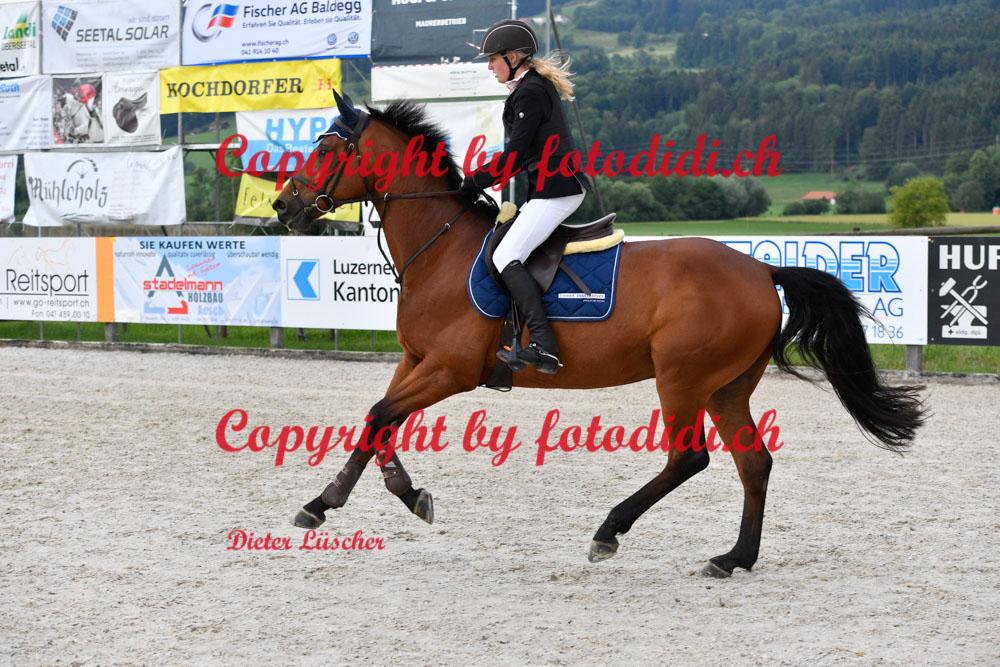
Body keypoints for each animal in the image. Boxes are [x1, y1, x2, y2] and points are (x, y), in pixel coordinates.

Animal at [271, 91, 925, 577]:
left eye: (327, 147)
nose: (282, 206)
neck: (441, 247)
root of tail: (761, 270)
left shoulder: (450, 370)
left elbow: (380, 414)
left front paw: (358, 501)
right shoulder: (416, 361)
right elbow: (376, 420)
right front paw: (367, 497)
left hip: (682, 378)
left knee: (689, 457)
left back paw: (609, 531)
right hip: (726, 386)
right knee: (753, 463)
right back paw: (734, 557)